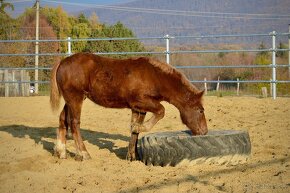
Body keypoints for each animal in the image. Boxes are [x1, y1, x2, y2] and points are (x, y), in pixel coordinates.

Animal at [50, 52, 208, 161]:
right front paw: (137, 130)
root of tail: (63, 61)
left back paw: (61, 152)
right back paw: (83, 153)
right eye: (200, 110)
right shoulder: (141, 102)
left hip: (71, 100)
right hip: (75, 99)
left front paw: (132, 155)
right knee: (74, 123)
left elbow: (134, 132)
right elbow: (161, 111)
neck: (153, 76)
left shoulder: (139, 108)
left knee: (63, 120)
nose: (204, 131)